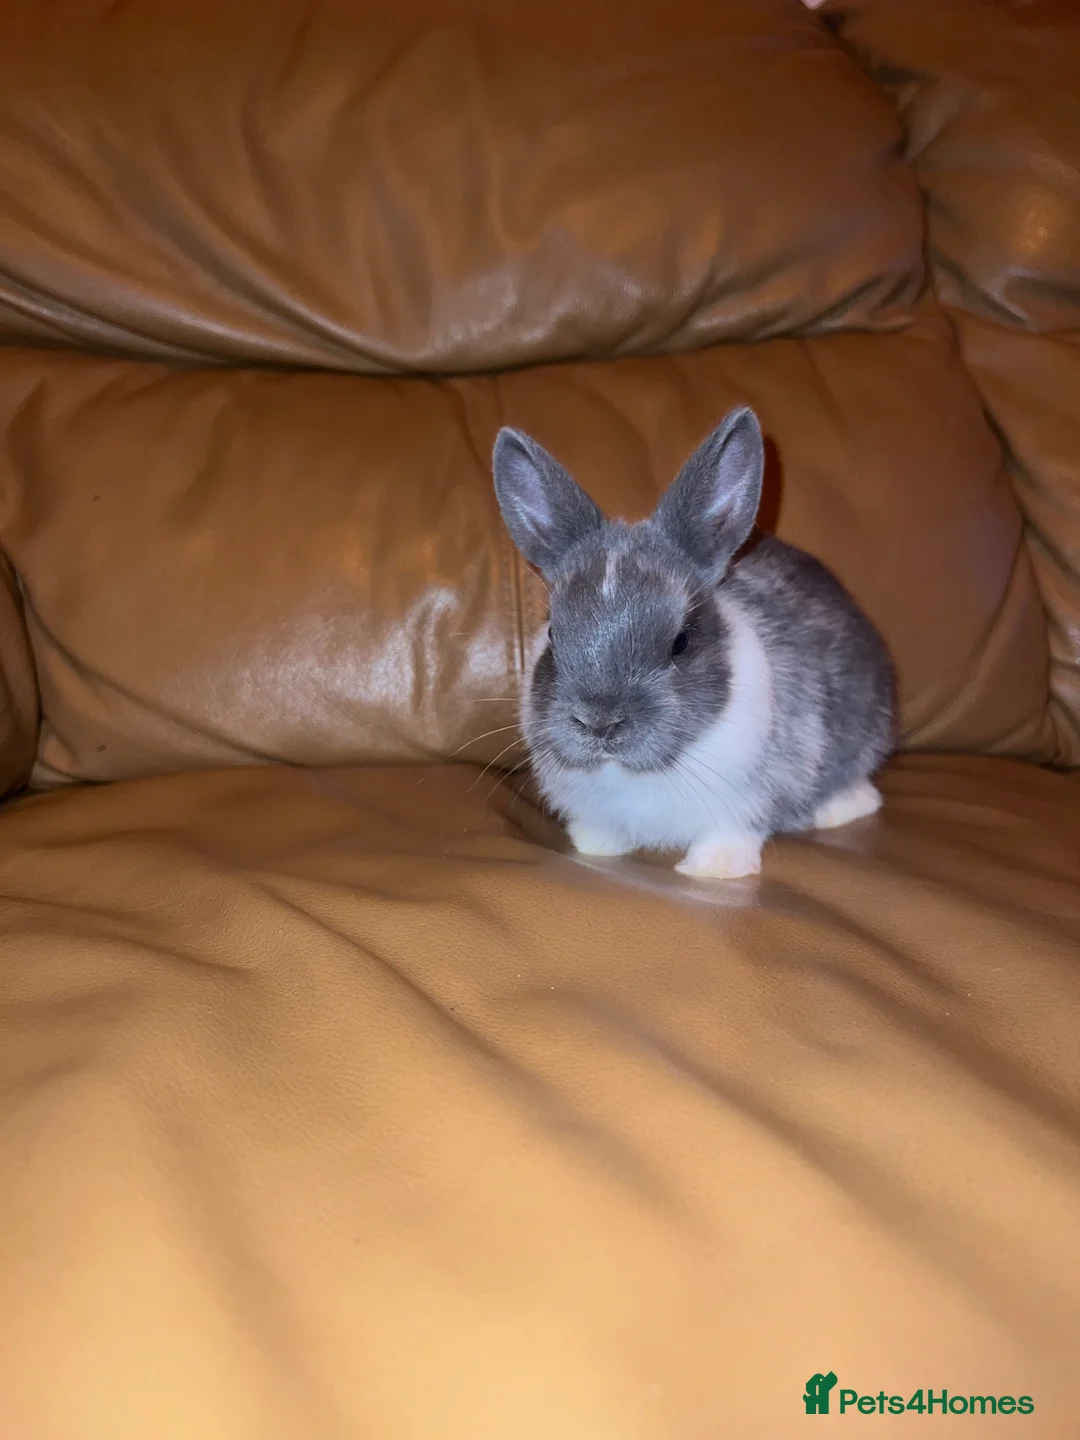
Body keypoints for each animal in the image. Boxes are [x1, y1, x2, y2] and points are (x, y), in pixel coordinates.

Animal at [491, 405, 897, 880]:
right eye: (554, 635)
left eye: (681, 642)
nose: (599, 722)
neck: (626, 774)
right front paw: (596, 849)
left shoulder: (746, 801)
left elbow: (731, 833)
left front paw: (713, 869)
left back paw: (840, 808)